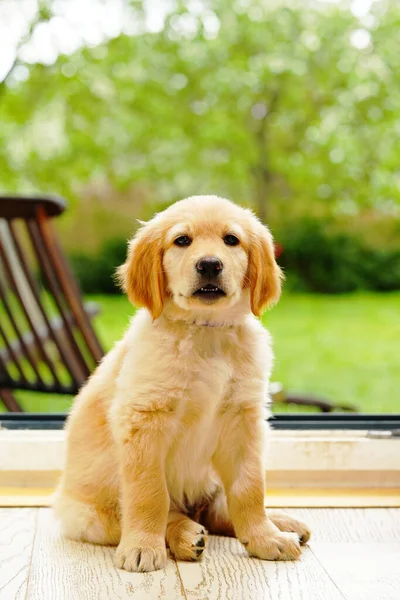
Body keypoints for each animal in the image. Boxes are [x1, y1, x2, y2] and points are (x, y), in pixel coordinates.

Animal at [53, 196, 310, 572]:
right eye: (182, 240)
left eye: (231, 240)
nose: (209, 265)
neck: (205, 331)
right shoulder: (145, 418)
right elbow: (150, 494)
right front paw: (143, 546)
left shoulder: (243, 419)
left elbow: (249, 487)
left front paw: (265, 538)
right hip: (88, 515)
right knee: (166, 514)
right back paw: (185, 536)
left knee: (217, 511)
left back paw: (281, 523)